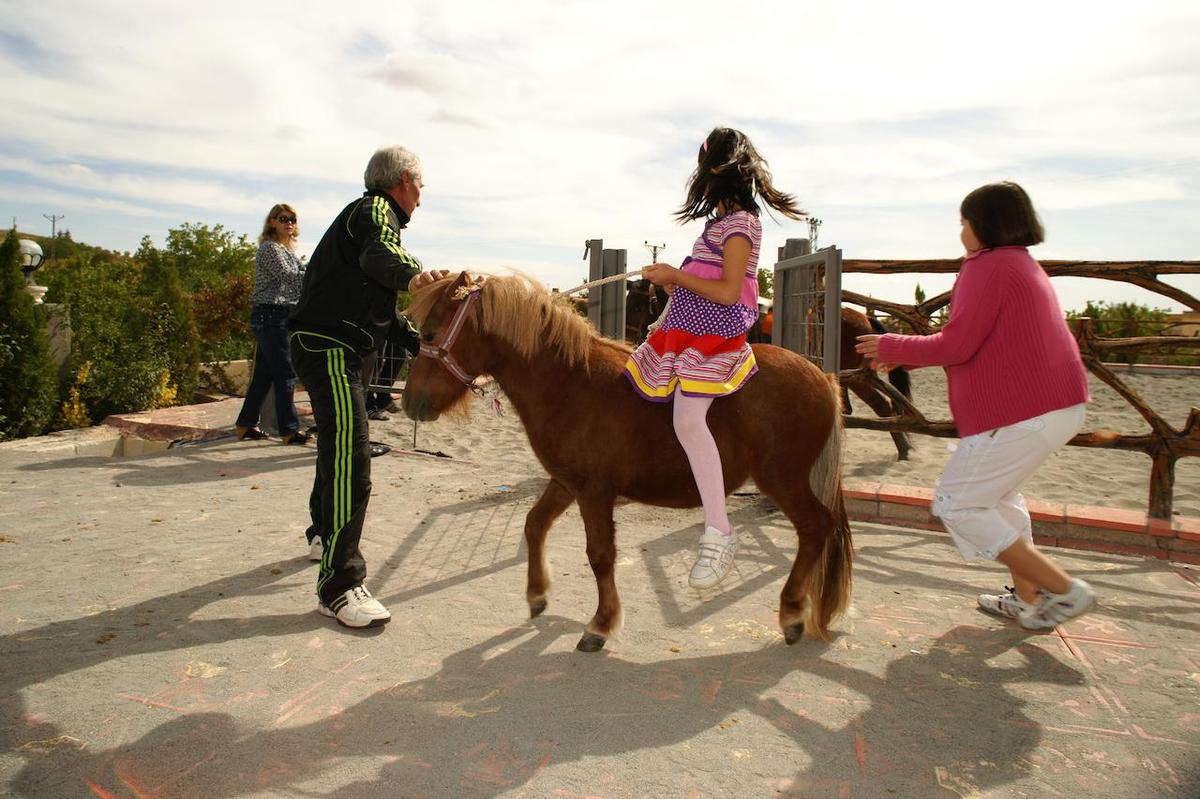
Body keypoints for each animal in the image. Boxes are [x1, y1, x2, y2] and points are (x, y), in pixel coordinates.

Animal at [405, 271, 854, 652]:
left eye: (429, 333)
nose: (410, 402)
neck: (572, 383)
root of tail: (821, 376)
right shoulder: (566, 483)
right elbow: (534, 525)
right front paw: (537, 594)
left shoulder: (594, 493)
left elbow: (601, 555)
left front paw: (600, 624)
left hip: (783, 480)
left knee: (816, 527)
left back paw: (792, 612)